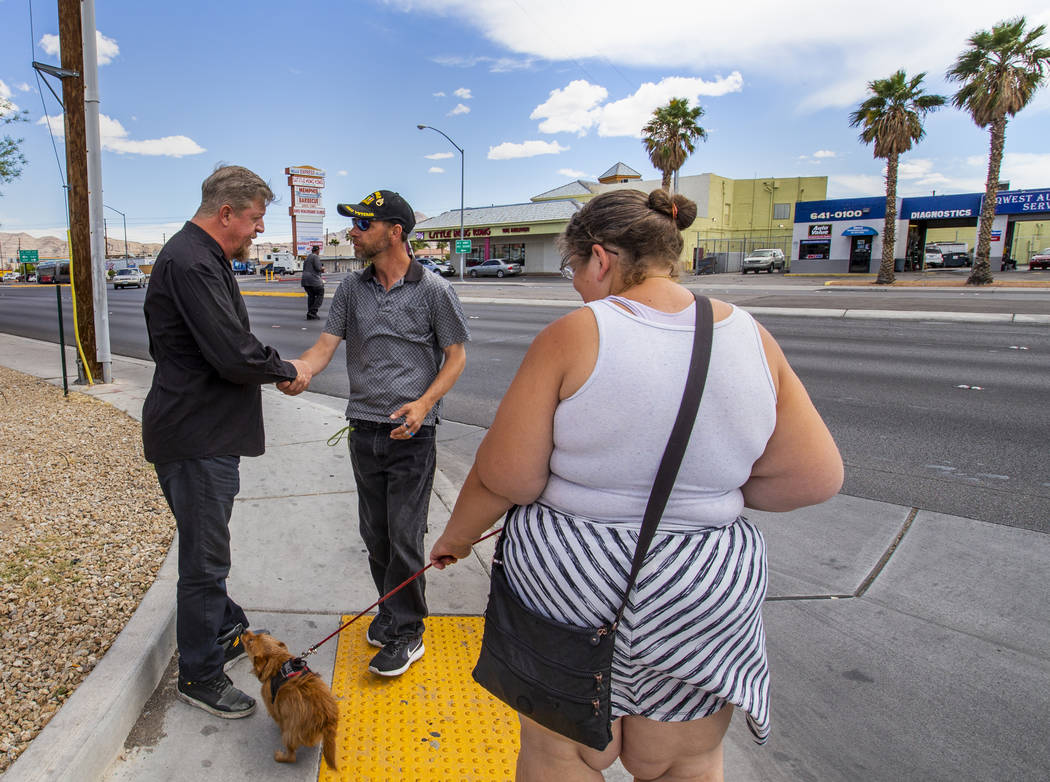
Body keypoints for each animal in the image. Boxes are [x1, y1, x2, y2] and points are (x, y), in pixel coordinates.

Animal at [240, 629, 338, 768]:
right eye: (256, 634)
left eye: (250, 641)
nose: (244, 630)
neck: (277, 663)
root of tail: (325, 718)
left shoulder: (272, 706)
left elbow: (278, 718)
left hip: (289, 735)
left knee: (292, 757)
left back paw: (280, 756)